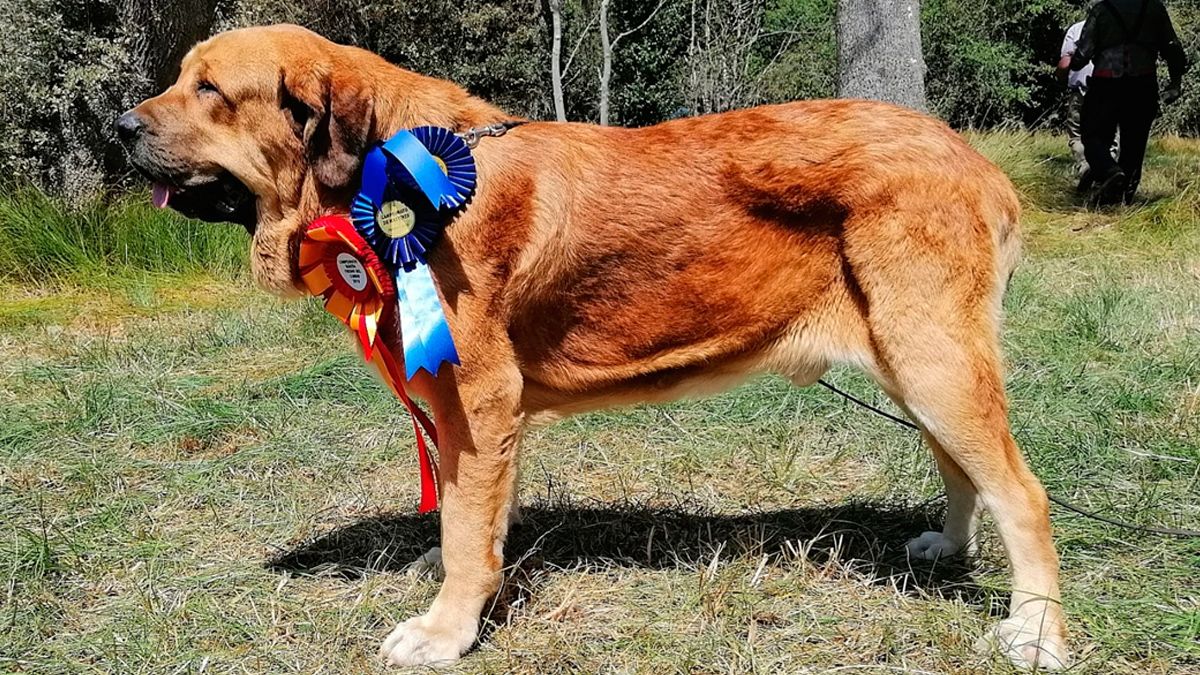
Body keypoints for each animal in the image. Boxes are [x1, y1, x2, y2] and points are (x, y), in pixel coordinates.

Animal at [117, 22, 1075, 667]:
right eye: (183, 80)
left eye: (210, 90)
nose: (121, 128)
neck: (393, 170)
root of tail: (976, 161)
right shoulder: (472, 414)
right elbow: (472, 510)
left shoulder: (478, 397)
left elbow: (467, 521)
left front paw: (445, 628)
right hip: (914, 362)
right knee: (962, 467)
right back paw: (947, 545)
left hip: (932, 357)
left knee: (1022, 492)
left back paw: (1034, 629)